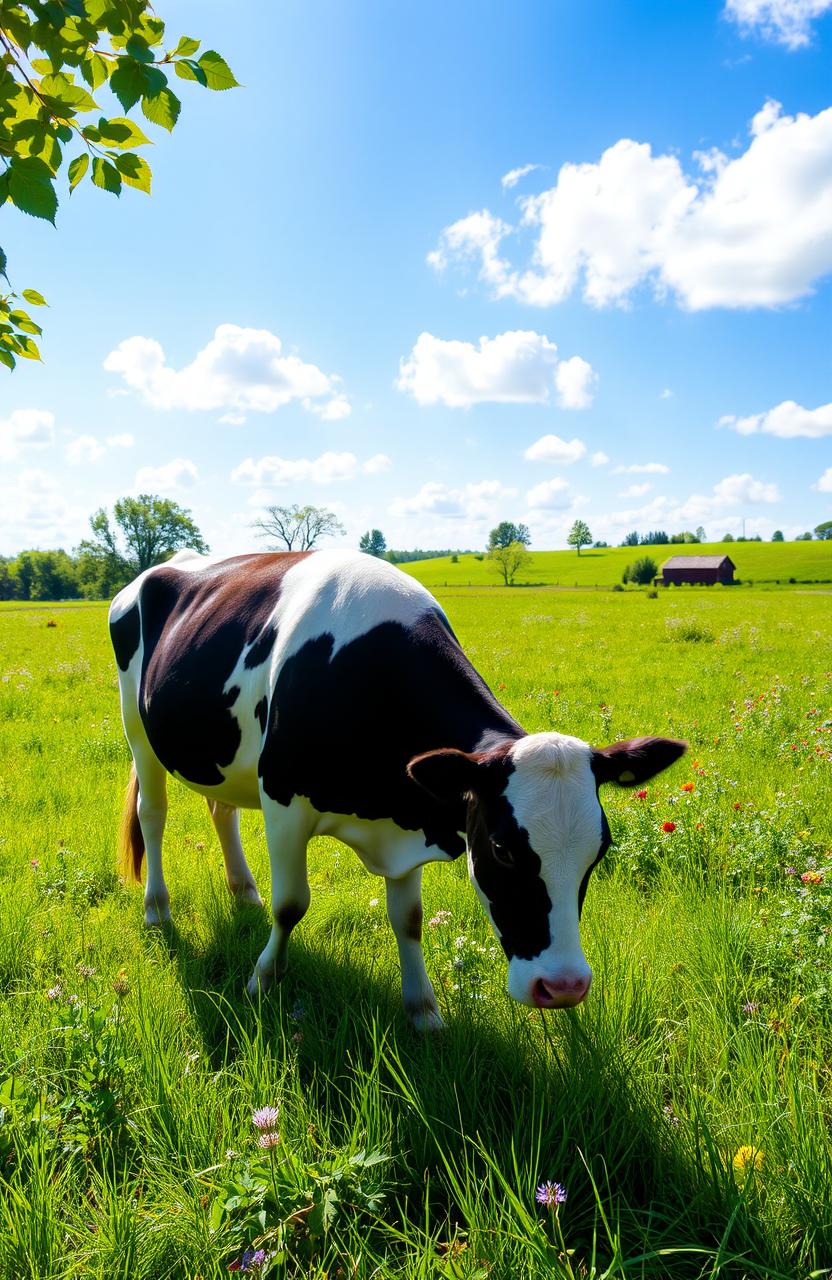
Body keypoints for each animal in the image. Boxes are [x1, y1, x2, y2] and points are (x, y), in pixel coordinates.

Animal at [109, 548, 685, 1028]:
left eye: (600, 849)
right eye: (502, 848)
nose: (563, 986)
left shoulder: (408, 819)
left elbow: (408, 920)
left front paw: (423, 1011)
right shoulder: (283, 800)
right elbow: (291, 905)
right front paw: (262, 980)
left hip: (217, 755)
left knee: (221, 809)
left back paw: (243, 890)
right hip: (138, 732)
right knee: (152, 814)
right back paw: (157, 908)